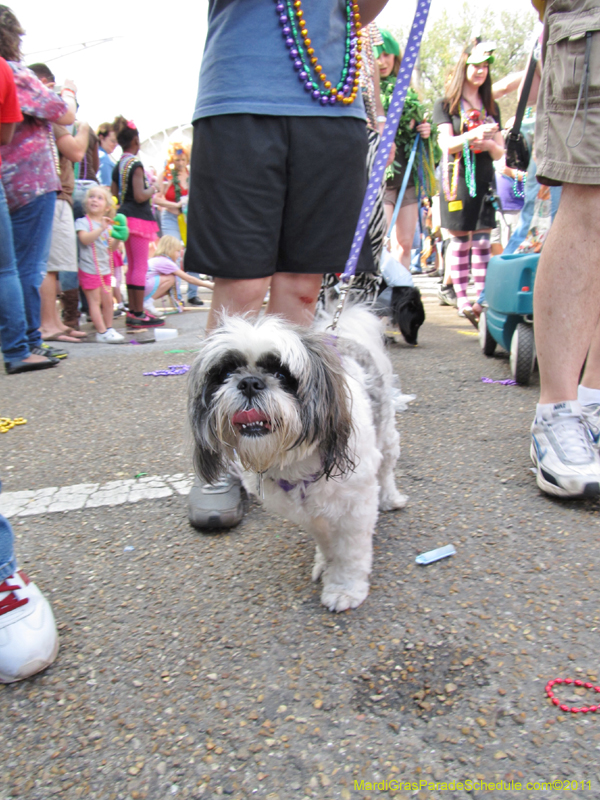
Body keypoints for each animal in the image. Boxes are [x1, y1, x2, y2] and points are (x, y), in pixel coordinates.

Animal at [189, 306, 408, 612]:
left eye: (281, 373)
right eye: (227, 371)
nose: (249, 382)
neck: (295, 462)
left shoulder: (355, 509)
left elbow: (349, 553)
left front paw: (344, 588)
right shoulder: (309, 515)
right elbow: (327, 542)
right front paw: (325, 562)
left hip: (386, 433)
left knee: (386, 470)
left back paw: (390, 498)